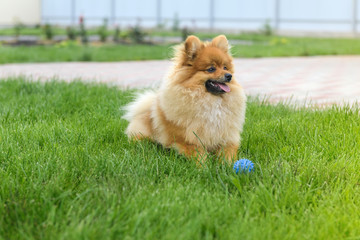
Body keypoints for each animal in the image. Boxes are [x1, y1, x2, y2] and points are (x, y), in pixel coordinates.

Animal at [122, 34, 246, 164]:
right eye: (211, 69)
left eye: (225, 67)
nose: (229, 76)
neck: (211, 102)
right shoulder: (188, 140)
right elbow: (199, 155)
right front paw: (205, 166)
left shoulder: (227, 137)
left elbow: (228, 153)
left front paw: (227, 165)